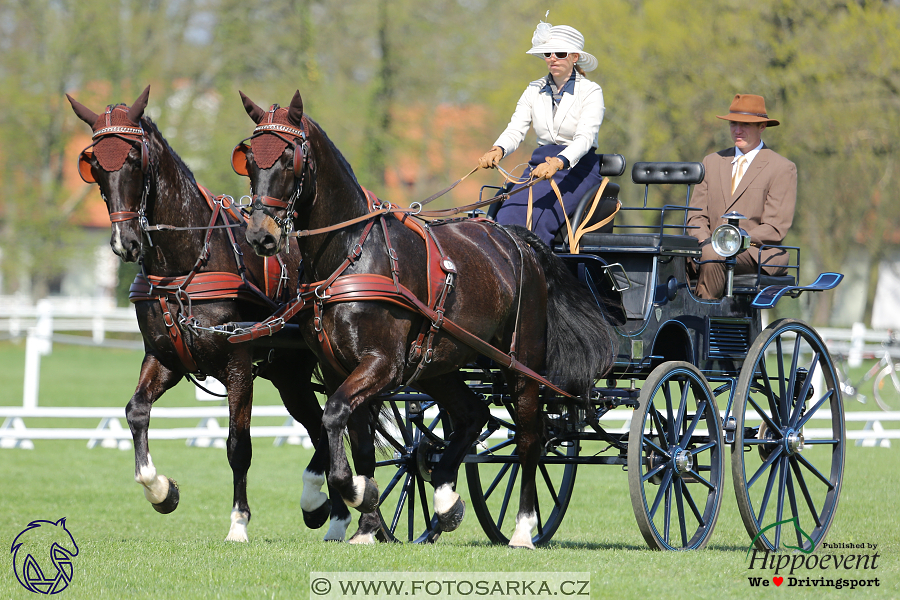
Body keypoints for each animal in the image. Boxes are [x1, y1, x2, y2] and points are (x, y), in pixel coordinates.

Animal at [67, 86, 376, 540]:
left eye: (133, 158)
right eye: (93, 167)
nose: (126, 242)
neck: (185, 265)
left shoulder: (237, 363)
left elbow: (238, 446)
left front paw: (238, 523)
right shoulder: (165, 357)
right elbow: (136, 412)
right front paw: (161, 490)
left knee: (325, 424)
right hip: (289, 373)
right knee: (319, 425)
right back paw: (330, 514)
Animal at [236, 90, 616, 548]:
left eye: (289, 158)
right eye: (248, 159)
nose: (261, 236)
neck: (352, 253)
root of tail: (518, 240)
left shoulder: (381, 364)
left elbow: (333, 416)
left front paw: (349, 495)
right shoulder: (336, 367)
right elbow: (357, 439)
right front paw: (365, 521)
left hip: (520, 363)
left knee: (530, 438)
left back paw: (524, 528)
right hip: (439, 363)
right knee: (474, 415)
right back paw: (446, 500)